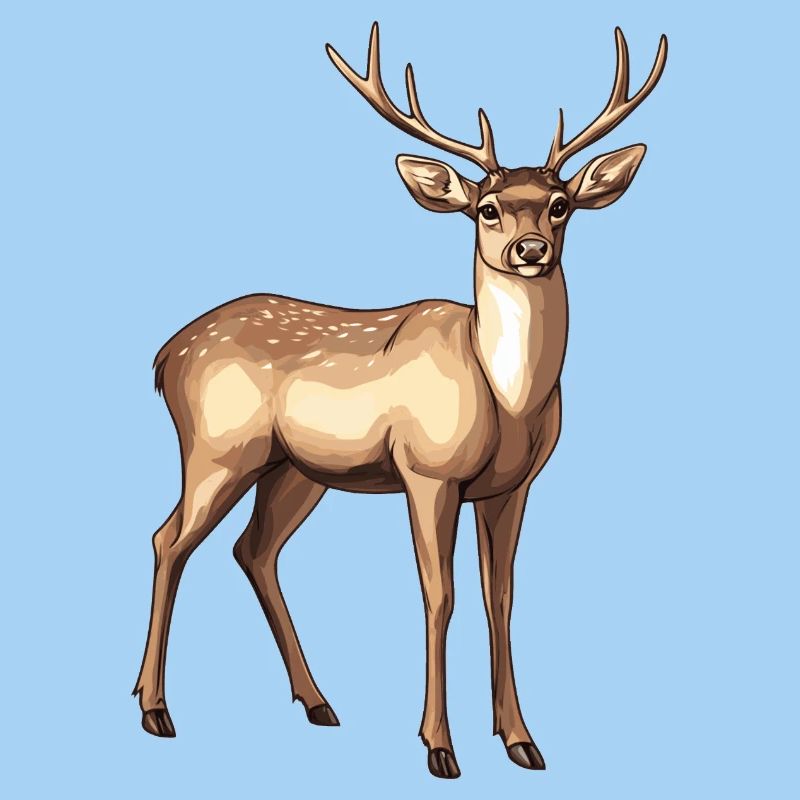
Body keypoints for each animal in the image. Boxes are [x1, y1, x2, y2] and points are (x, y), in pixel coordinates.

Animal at [133, 22, 667, 778]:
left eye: (561, 204)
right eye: (487, 209)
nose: (531, 248)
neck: (507, 402)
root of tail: (165, 355)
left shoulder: (512, 486)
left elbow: (501, 597)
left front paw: (522, 740)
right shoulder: (427, 470)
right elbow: (439, 596)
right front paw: (439, 746)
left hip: (295, 470)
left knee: (253, 549)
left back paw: (318, 702)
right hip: (217, 447)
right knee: (169, 539)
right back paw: (155, 709)